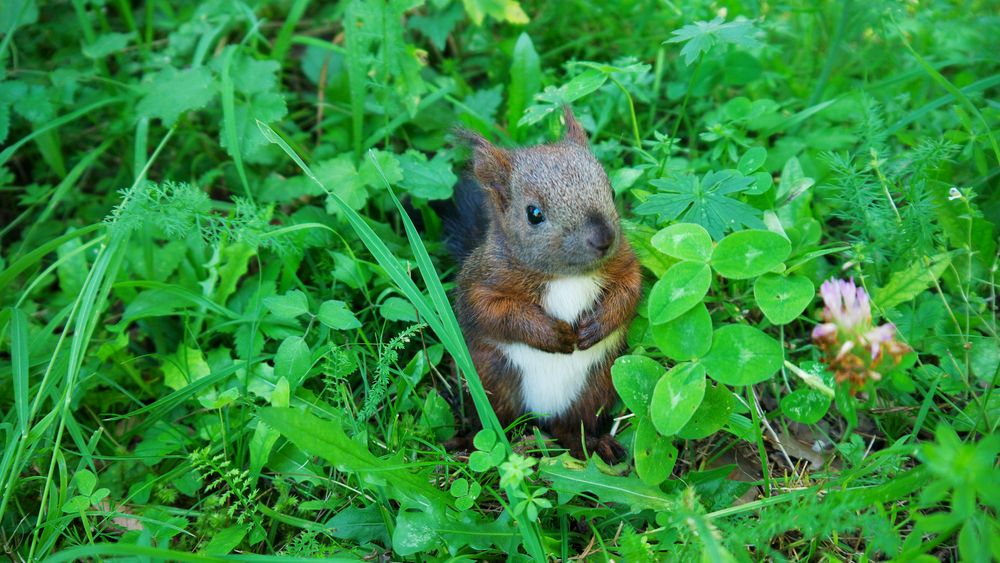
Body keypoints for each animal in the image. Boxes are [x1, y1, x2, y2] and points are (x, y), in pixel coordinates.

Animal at [444, 107, 640, 462]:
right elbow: (492, 312)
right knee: (494, 423)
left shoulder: (625, 263)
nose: (604, 238)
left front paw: (597, 326)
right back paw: (466, 442)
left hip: (595, 387)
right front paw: (553, 335)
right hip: (493, 379)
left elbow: (629, 291)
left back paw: (595, 444)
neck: (565, 276)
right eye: (533, 214)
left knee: (572, 429)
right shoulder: (482, 280)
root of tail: (543, 414)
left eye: (612, 192)